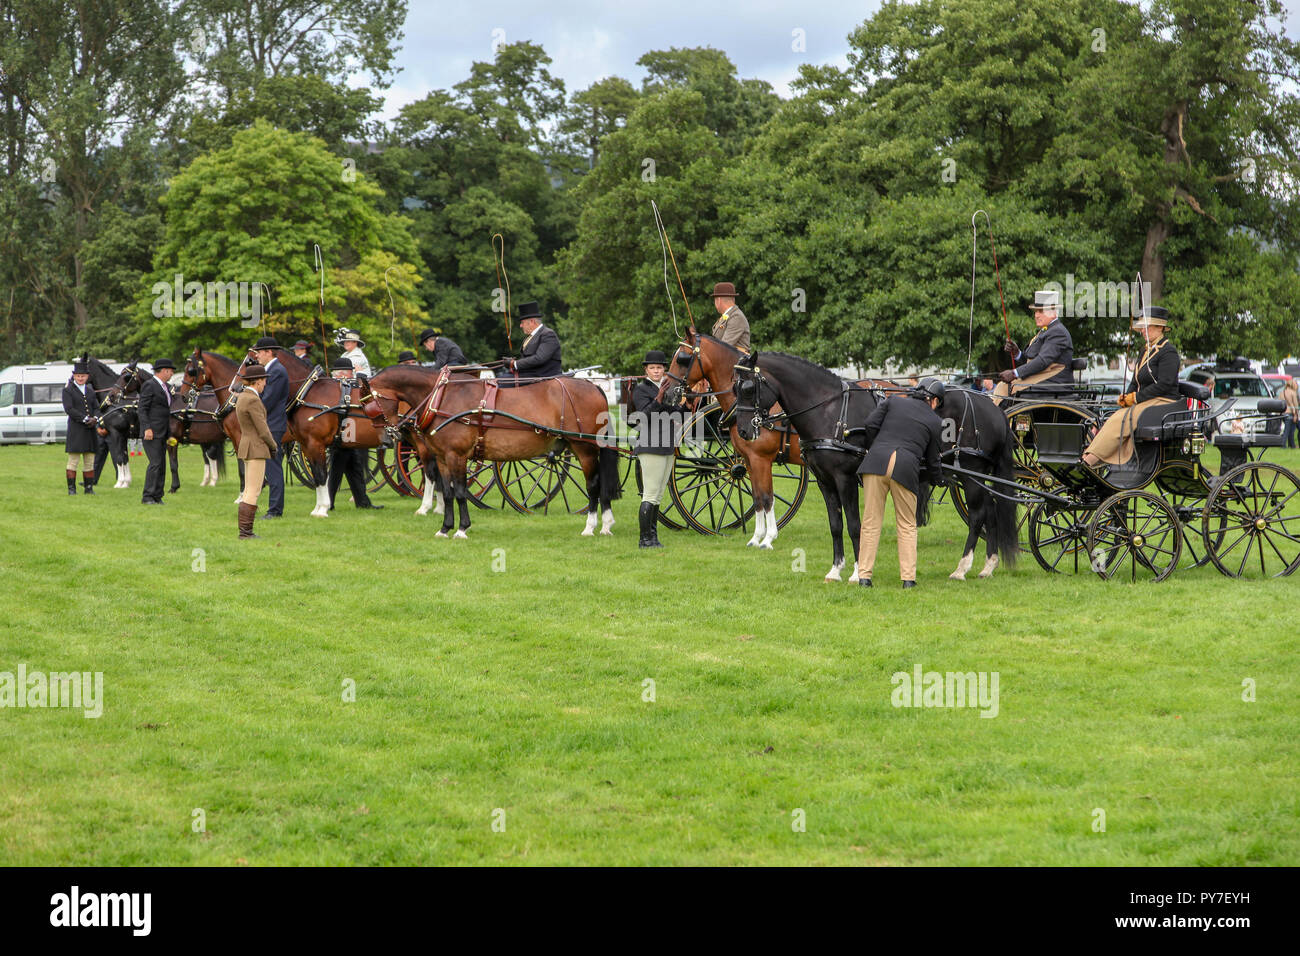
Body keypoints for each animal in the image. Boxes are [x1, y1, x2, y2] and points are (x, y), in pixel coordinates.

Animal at [358, 364, 616, 538]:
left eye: (369, 404)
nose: (387, 439)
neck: (442, 398)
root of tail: (592, 385)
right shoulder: (442, 458)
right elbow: (448, 493)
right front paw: (445, 528)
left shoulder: (457, 456)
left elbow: (460, 492)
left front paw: (462, 529)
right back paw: (605, 524)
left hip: (585, 449)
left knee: (593, 485)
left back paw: (591, 526)